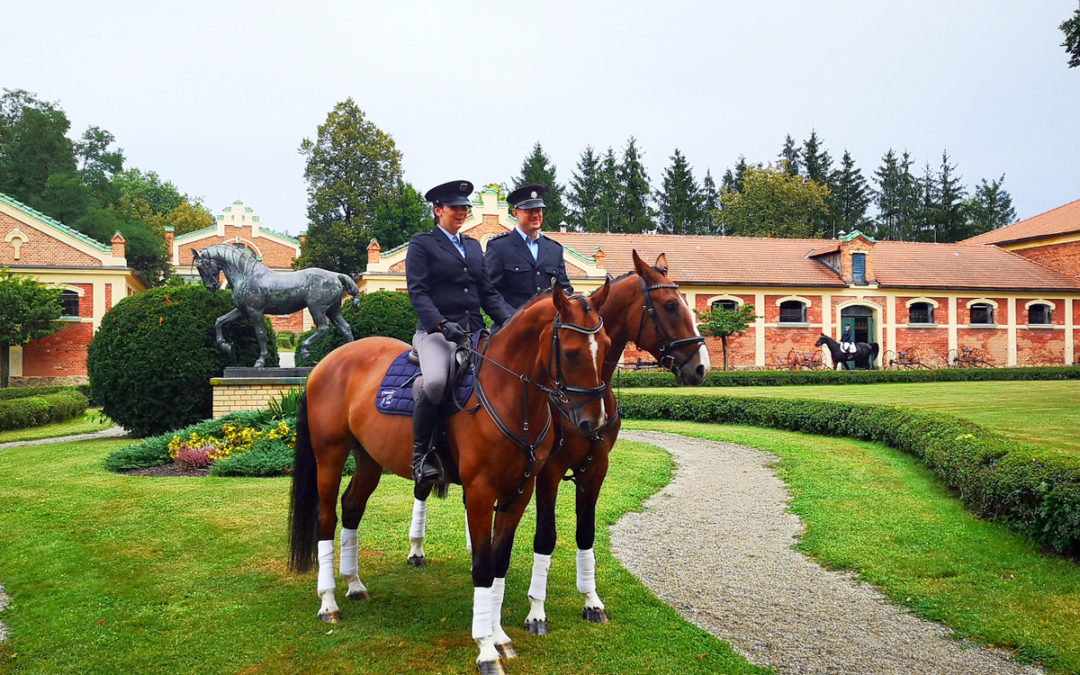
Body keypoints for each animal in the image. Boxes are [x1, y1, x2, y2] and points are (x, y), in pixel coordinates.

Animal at [193, 241, 358, 365]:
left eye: (202, 266)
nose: (211, 286)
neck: (245, 274)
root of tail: (336, 276)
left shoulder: (255, 311)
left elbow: (260, 333)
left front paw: (260, 361)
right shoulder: (242, 310)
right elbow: (219, 321)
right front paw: (226, 347)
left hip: (317, 308)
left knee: (324, 328)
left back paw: (304, 350)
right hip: (333, 310)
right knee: (346, 328)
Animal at [287, 280, 613, 669]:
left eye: (606, 344)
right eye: (572, 352)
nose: (594, 423)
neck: (509, 395)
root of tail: (329, 360)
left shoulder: (519, 492)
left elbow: (499, 562)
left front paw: (499, 636)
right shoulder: (480, 492)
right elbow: (483, 567)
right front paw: (485, 648)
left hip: (368, 460)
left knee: (351, 508)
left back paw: (354, 584)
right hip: (330, 456)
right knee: (326, 518)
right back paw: (328, 601)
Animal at [403, 247, 708, 630]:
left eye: (685, 302)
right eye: (669, 305)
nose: (701, 367)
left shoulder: (595, 468)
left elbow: (585, 532)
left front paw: (591, 600)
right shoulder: (548, 471)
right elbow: (545, 536)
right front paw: (536, 609)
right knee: (422, 486)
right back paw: (416, 549)